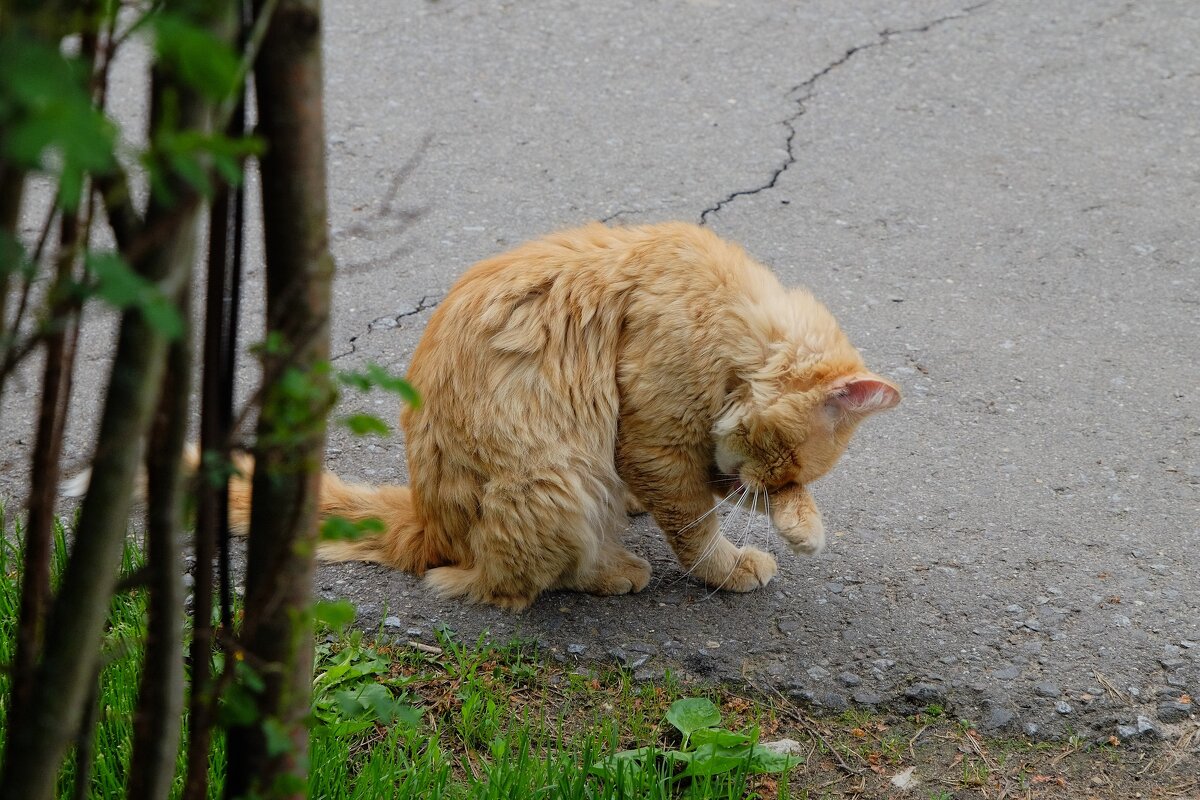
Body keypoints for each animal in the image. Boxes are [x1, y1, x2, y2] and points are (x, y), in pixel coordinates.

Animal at [226, 221, 902, 609]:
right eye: (781, 456)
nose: (756, 485)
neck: (730, 318)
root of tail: (425, 519)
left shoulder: (673, 454)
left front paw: (799, 521)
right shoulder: (655, 444)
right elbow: (696, 529)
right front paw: (732, 564)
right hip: (558, 477)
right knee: (503, 584)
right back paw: (615, 571)